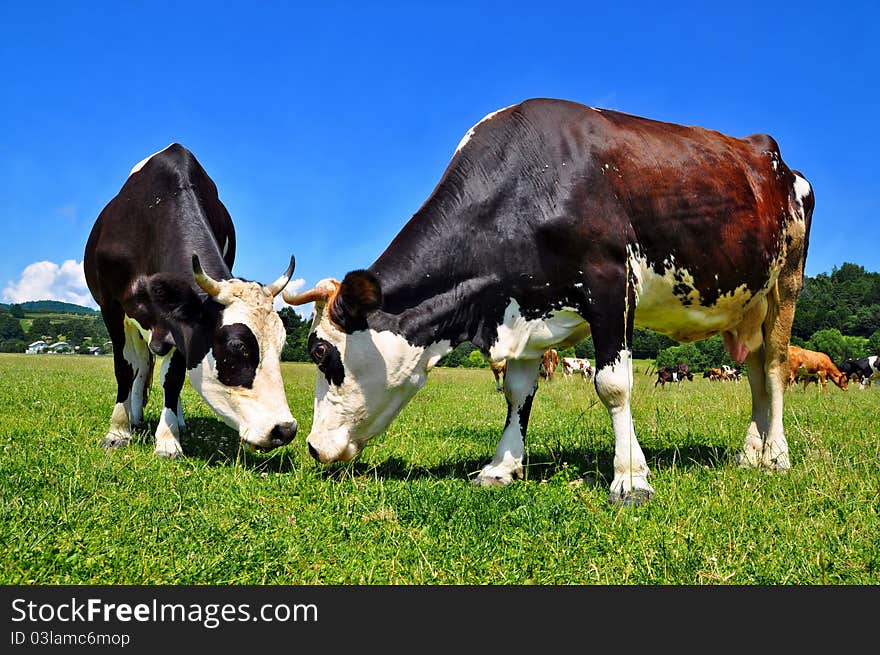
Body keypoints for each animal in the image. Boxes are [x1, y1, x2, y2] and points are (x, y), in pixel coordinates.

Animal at [86, 144, 300, 458]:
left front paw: (167, 438)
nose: (284, 429)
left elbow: (172, 378)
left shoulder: (181, 322)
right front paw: (117, 432)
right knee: (140, 364)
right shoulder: (111, 308)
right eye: (236, 348)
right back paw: (135, 416)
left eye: (281, 346)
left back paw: (177, 420)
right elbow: (125, 369)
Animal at [288, 97, 812, 508]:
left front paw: (630, 480)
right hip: (744, 306)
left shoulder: (611, 284)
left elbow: (613, 385)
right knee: (753, 373)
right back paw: (750, 454)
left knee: (773, 369)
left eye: (321, 351)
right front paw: (501, 466)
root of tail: (773, 157)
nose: (312, 446)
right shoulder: (524, 305)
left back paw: (777, 456)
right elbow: (517, 393)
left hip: (786, 284)